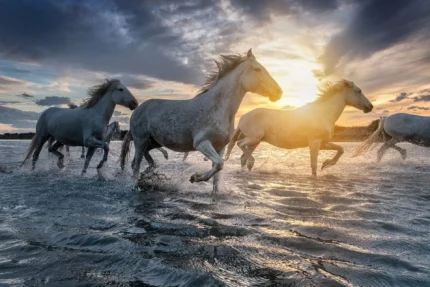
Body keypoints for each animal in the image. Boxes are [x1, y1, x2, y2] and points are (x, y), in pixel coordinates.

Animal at [120, 49, 282, 195]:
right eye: (257, 69)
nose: (279, 92)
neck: (217, 108)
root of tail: (138, 109)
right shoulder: (201, 143)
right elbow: (219, 164)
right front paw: (195, 177)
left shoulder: (220, 148)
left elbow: (217, 175)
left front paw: (213, 193)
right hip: (140, 140)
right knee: (136, 165)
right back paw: (136, 186)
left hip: (154, 142)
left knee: (144, 158)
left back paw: (150, 172)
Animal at [223, 80, 374, 177]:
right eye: (359, 91)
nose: (370, 107)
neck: (323, 113)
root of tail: (243, 117)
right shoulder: (314, 142)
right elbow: (313, 165)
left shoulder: (322, 143)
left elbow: (340, 149)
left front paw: (327, 164)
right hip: (254, 138)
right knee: (240, 145)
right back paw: (252, 162)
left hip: (255, 142)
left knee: (243, 157)